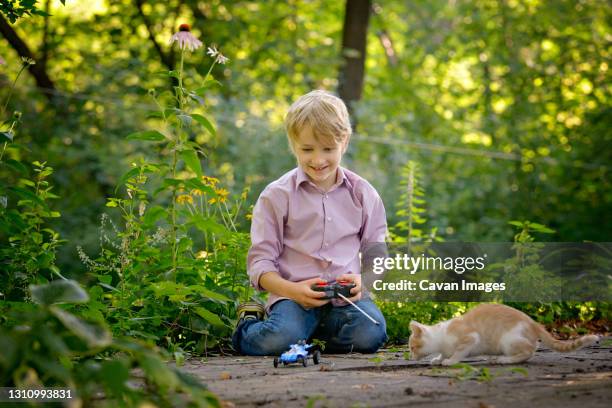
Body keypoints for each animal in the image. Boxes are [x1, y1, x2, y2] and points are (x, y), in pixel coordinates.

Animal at [408, 302, 600, 366]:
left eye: (412, 347)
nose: (411, 357)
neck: (441, 336)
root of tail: (533, 323)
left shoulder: (471, 337)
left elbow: (459, 351)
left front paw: (450, 361)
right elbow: (444, 353)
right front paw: (439, 358)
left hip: (508, 340)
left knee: (529, 351)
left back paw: (503, 360)